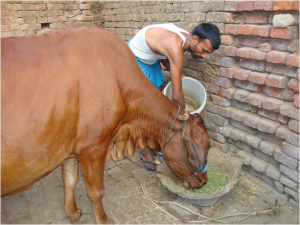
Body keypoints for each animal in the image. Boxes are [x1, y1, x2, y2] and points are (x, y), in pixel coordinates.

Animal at [0, 27, 210, 224]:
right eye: (205, 146)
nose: (204, 182)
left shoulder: (70, 148)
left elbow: (69, 180)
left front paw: (73, 212)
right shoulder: (93, 147)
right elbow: (96, 191)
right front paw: (103, 220)